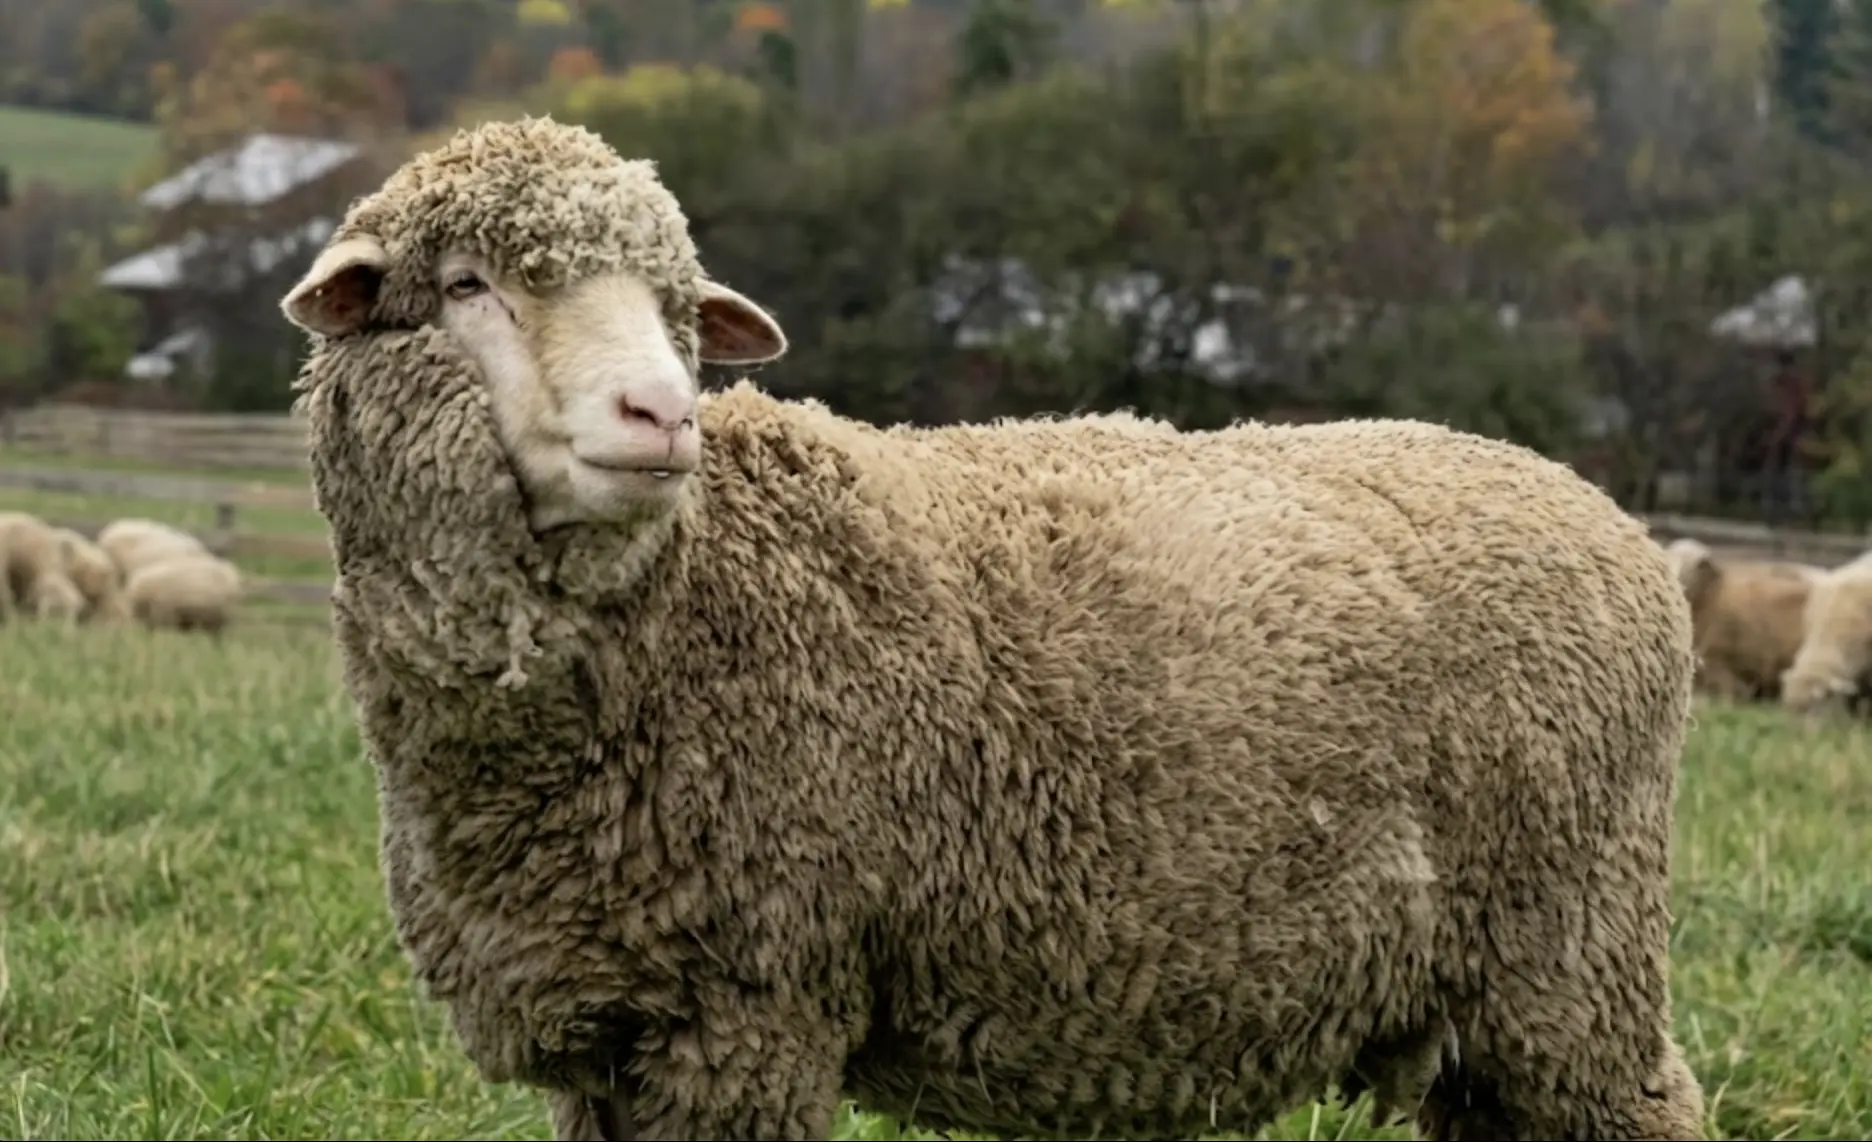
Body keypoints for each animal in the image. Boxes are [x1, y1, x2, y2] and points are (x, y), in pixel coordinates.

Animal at [281, 116, 1706, 1142]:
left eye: (678, 308)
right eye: (468, 285)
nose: (661, 414)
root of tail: (1615, 526)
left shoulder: (750, 1006)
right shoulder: (613, 1027)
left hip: (1566, 951)